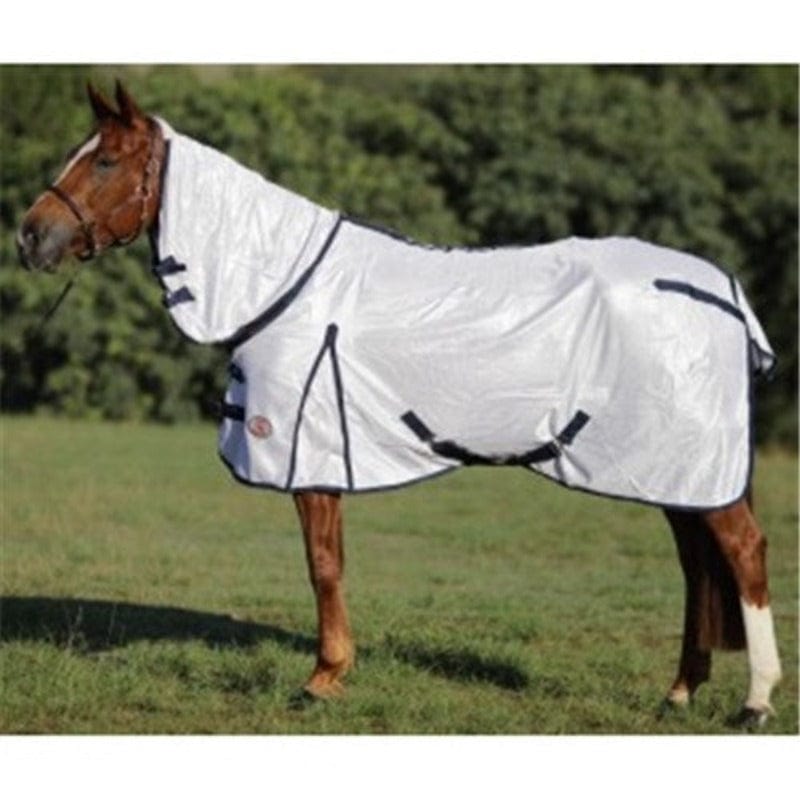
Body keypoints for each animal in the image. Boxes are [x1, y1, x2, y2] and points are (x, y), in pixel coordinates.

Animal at [16, 81, 782, 727]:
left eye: (106, 160)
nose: (30, 236)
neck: (284, 283)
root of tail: (721, 289)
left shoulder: (311, 455)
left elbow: (322, 566)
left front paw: (322, 679)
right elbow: (330, 563)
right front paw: (333, 672)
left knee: (743, 553)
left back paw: (754, 702)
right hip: (668, 468)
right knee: (697, 567)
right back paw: (678, 694)